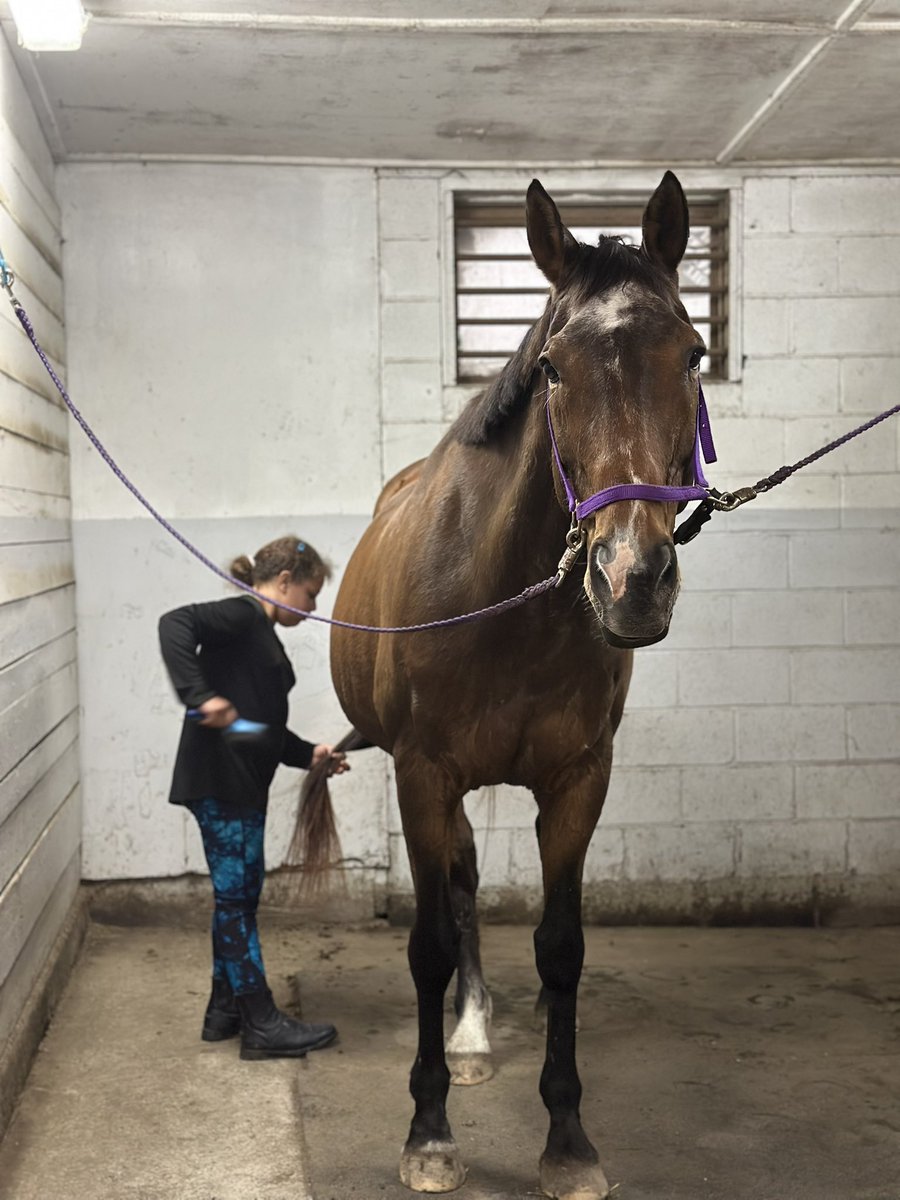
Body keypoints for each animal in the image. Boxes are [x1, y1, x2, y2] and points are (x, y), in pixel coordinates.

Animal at [298, 171, 709, 1199]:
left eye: (693, 354)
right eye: (555, 368)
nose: (632, 578)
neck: (503, 597)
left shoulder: (577, 781)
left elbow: (561, 950)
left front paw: (568, 1140)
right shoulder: (422, 775)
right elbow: (430, 941)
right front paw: (429, 1130)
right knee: (460, 888)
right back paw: (471, 1037)